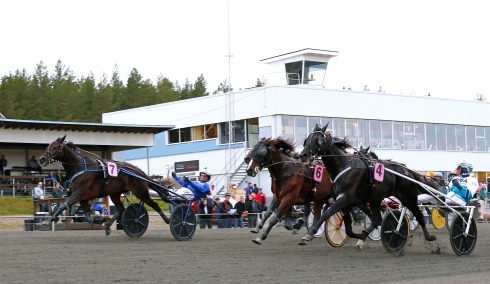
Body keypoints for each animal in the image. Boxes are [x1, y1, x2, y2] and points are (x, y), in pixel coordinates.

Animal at [37, 135, 170, 235]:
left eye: (55, 147)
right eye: (48, 146)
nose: (42, 159)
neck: (81, 168)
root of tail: (139, 171)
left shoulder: (78, 194)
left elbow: (63, 206)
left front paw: (48, 220)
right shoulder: (83, 199)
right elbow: (89, 218)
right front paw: (103, 220)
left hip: (140, 192)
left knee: (154, 205)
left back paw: (168, 220)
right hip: (114, 193)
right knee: (121, 209)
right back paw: (107, 226)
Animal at [298, 124, 440, 246]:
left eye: (317, 140)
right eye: (307, 139)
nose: (303, 155)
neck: (343, 166)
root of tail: (407, 171)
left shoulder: (344, 199)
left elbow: (326, 214)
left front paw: (308, 235)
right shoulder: (346, 203)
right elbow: (349, 229)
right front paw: (360, 236)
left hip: (408, 196)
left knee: (418, 215)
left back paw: (428, 236)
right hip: (375, 199)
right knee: (377, 219)